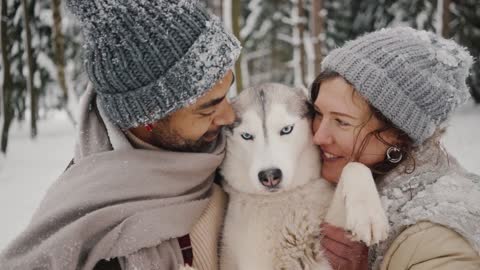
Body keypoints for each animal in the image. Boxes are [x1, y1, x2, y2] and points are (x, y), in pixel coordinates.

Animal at [219, 83, 388, 268]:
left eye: (286, 129)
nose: (270, 176)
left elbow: (354, 166)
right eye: (247, 136)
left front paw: (369, 216)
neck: (287, 196)